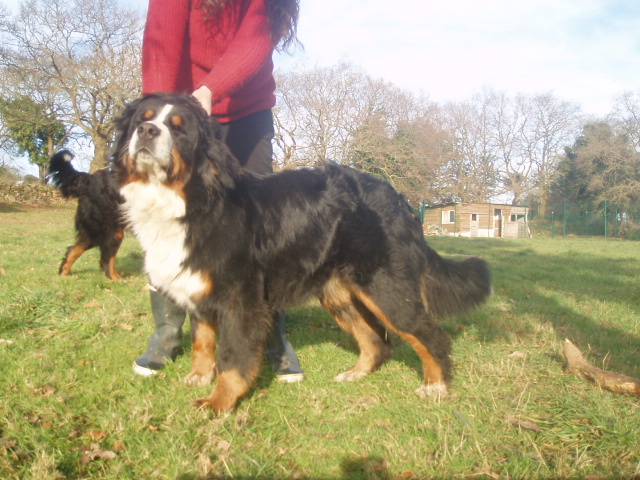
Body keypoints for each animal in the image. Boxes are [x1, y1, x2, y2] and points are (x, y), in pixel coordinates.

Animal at [48, 148, 125, 280]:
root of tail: (88, 179)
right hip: (109, 230)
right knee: (106, 259)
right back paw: (115, 278)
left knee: (73, 250)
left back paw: (64, 274)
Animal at [111, 93, 490, 412]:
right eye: (142, 119)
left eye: (179, 128)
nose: (147, 131)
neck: (192, 198)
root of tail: (399, 199)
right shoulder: (198, 287)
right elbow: (202, 343)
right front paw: (198, 378)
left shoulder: (239, 300)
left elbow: (231, 357)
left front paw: (218, 403)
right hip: (338, 293)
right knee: (375, 341)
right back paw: (355, 374)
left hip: (388, 289)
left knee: (429, 335)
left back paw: (435, 386)